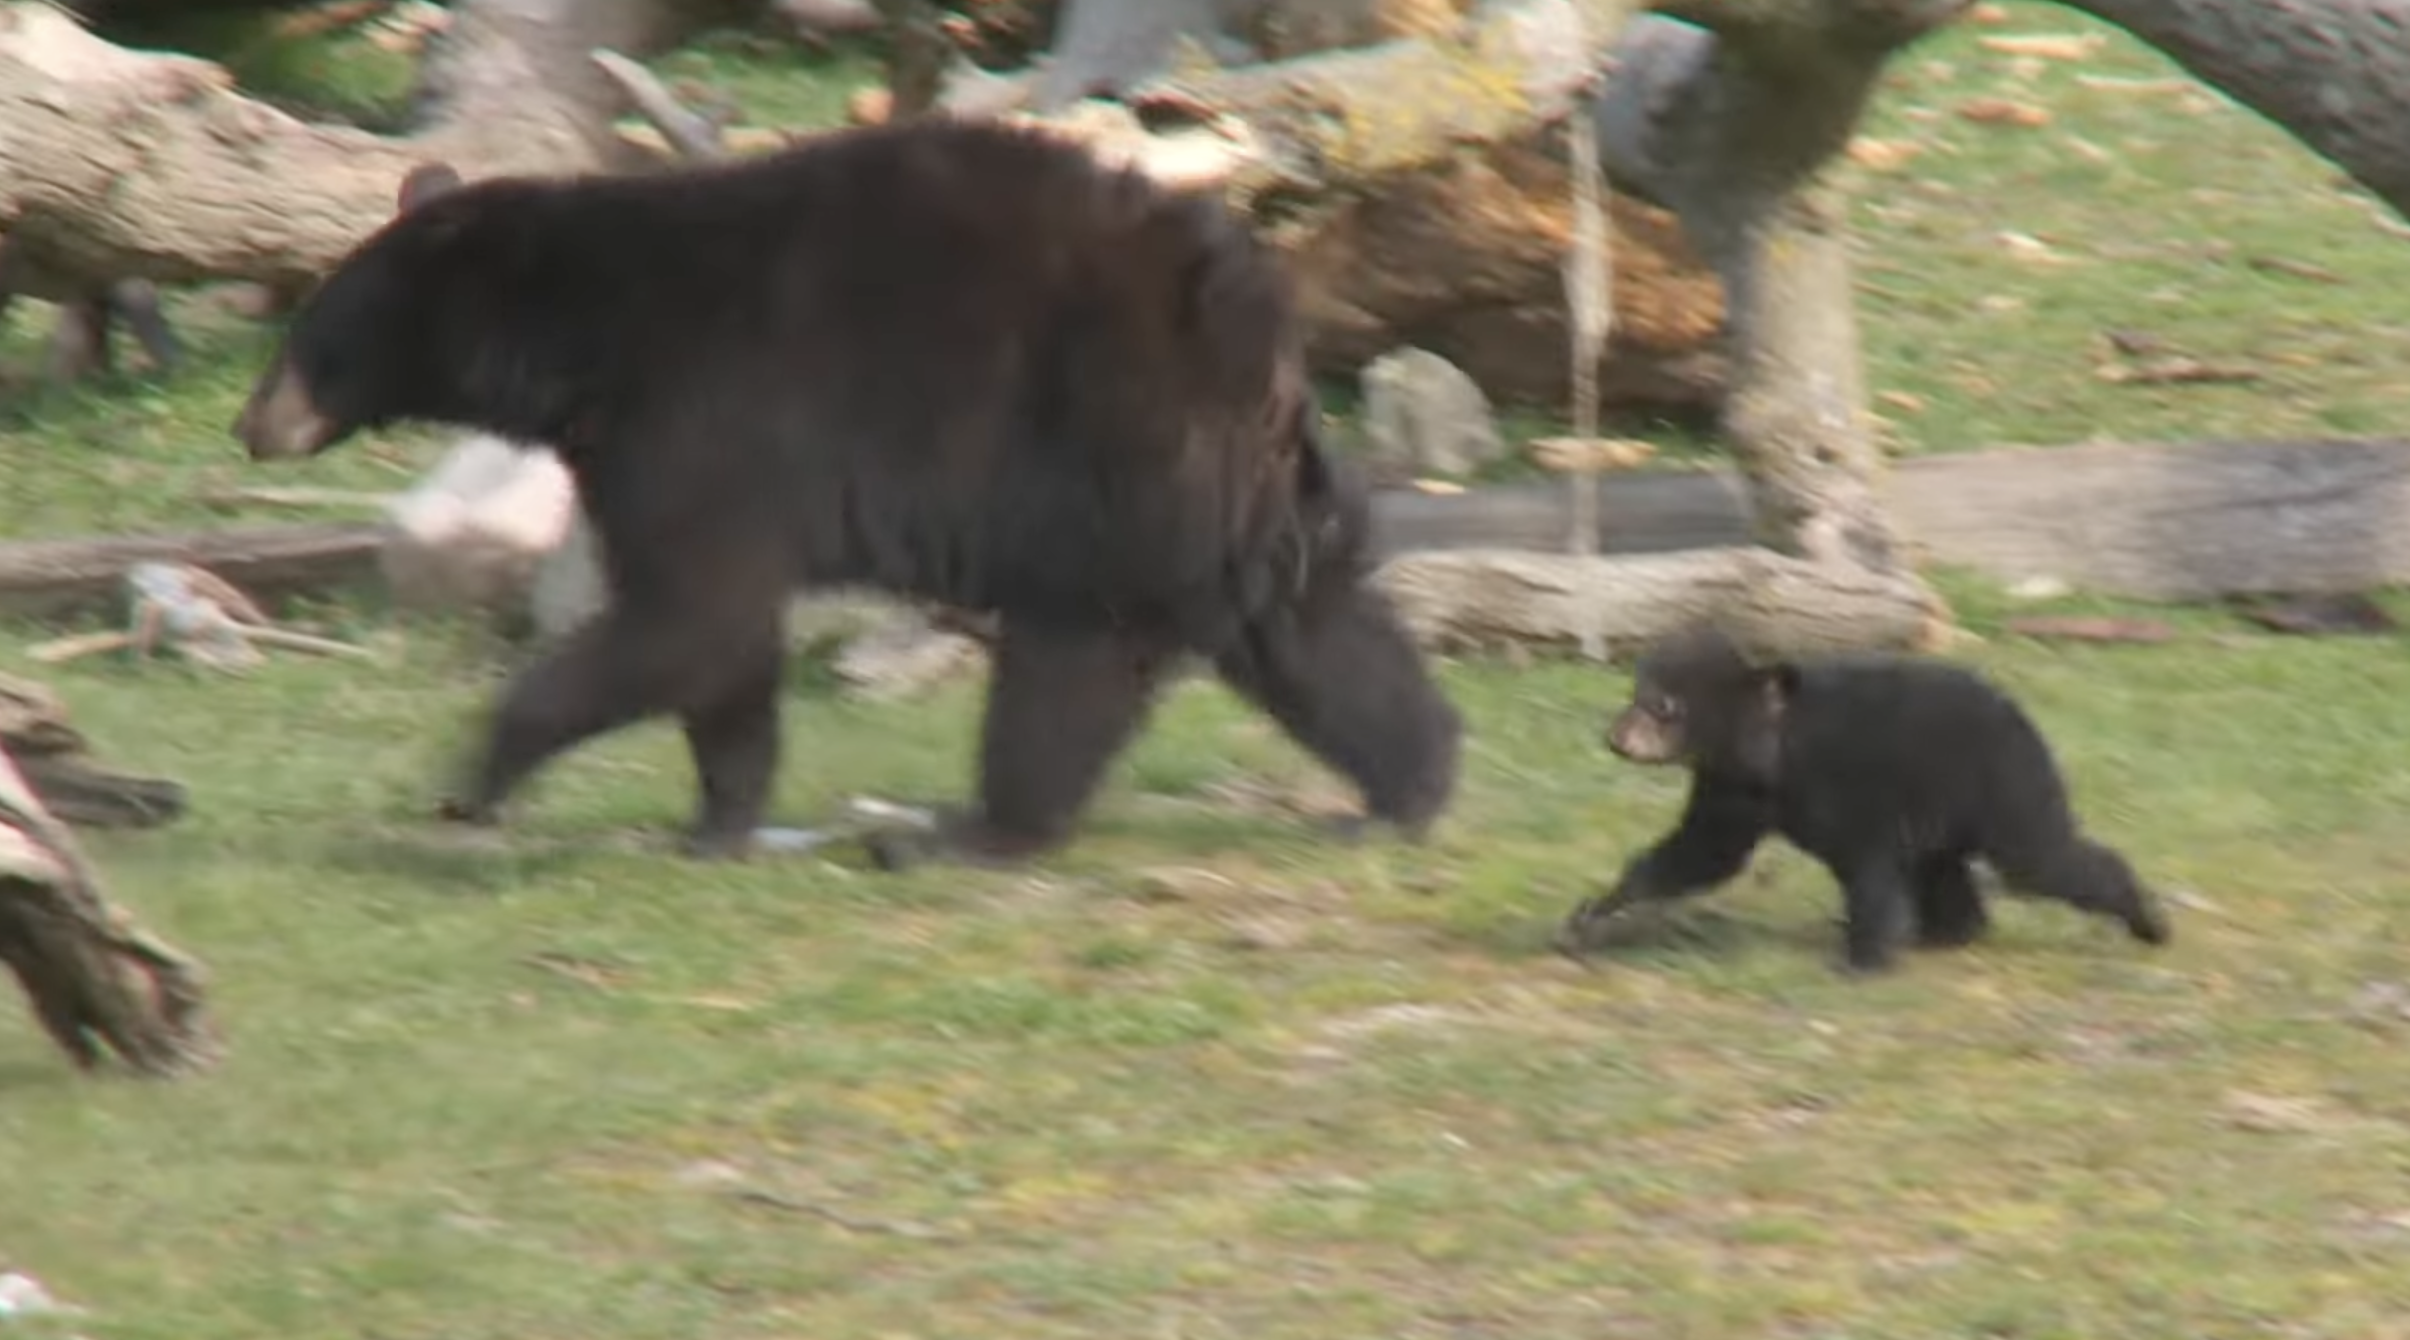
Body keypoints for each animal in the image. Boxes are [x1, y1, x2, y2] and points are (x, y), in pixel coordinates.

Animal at [234, 120, 1455, 862]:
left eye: (313, 336)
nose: (252, 424)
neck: (589, 340)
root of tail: (1260, 322)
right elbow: (724, 644)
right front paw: (720, 817)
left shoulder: (704, 419)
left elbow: (690, 616)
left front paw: (477, 777)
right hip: (1238, 498)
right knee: (1314, 626)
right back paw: (1411, 784)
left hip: (1108, 460)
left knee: (1069, 664)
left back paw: (969, 829)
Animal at [1552, 626, 2178, 973]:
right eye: (1636, 694)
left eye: (1663, 705)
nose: (1614, 737)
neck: (1774, 753)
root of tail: (2026, 721)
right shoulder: (1731, 789)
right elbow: (1701, 852)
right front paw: (1596, 912)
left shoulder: (1850, 783)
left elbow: (1868, 867)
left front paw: (1864, 959)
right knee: (1943, 869)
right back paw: (1951, 932)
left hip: (2004, 790)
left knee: (2044, 858)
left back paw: (2149, 921)